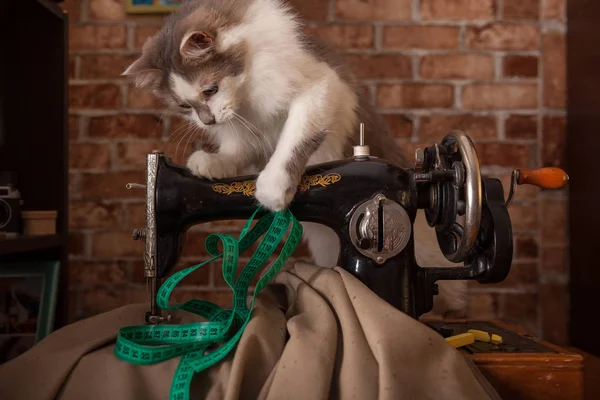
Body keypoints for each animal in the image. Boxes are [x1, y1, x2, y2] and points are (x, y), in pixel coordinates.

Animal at [123, 0, 468, 312]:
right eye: (185, 106)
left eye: (210, 90)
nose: (207, 121)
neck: (248, 93)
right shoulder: (244, 131)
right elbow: (235, 152)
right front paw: (212, 163)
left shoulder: (318, 89)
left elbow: (293, 142)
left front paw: (274, 187)